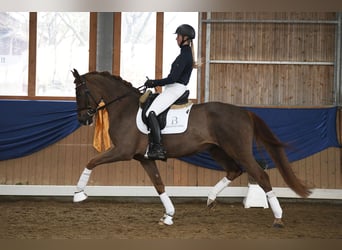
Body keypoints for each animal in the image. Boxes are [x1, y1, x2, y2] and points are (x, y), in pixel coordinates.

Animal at [71, 69, 312, 228]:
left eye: (80, 93)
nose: (83, 119)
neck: (125, 108)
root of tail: (244, 112)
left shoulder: (123, 151)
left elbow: (91, 162)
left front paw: (79, 194)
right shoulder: (144, 158)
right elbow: (159, 184)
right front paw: (168, 215)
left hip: (239, 150)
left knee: (260, 175)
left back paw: (278, 218)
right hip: (216, 149)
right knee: (234, 170)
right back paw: (210, 199)